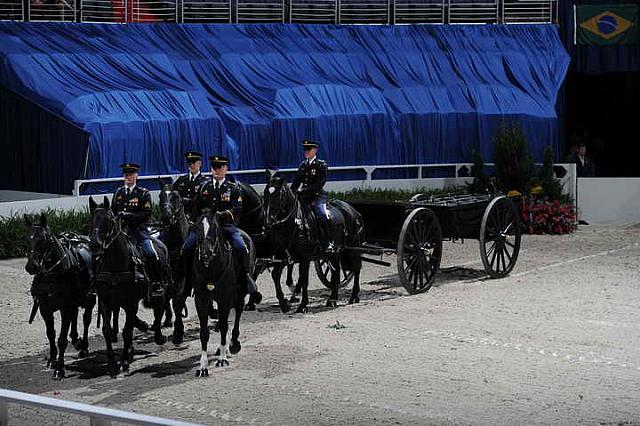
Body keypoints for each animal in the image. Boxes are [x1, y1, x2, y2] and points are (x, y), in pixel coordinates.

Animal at [24, 215, 94, 378]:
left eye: (44, 239)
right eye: (27, 238)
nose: (31, 266)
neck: (52, 274)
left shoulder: (65, 307)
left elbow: (61, 339)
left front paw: (60, 368)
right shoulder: (45, 308)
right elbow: (50, 334)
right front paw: (52, 359)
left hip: (89, 298)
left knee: (86, 319)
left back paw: (83, 346)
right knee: (75, 316)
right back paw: (76, 340)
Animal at [89, 196, 168, 376]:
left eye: (109, 221)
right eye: (91, 220)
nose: (95, 245)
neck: (116, 265)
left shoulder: (131, 300)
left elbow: (126, 330)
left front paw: (124, 360)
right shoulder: (105, 300)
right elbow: (107, 329)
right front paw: (112, 363)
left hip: (160, 289)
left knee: (159, 309)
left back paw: (158, 336)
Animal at [191, 213, 246, 376]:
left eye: (215, 228)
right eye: (197, 227)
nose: (206, 253)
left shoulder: (225, 298)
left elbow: (224, 327)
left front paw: (222, 359)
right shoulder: (201, 299)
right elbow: (204, 332)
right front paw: (203, 366)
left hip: (239, 292)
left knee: (238, 312)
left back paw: (233, 344)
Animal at [262, 170, 362, 312]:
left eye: (277, 196)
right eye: (265, 193)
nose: (267, 223)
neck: (294, 222)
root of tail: (353, 210)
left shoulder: (305, 257)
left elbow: (304, 279)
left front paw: (302, 305)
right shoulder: (281, 254)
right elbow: (276, 275)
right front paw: (284, 304)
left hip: (353, 248)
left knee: (356, 269)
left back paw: (353, 296)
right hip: (335, 253)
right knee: (336, 272)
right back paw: (332, 299)